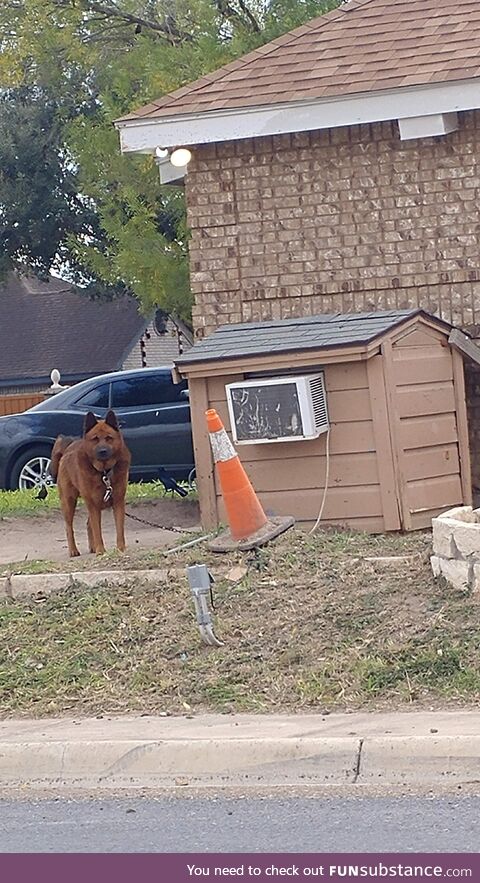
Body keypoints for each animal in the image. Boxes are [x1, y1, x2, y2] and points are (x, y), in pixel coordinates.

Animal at [50, 410, 131, 560]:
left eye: (109, 438)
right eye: (95, 439)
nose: (103, 451)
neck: (104, 473)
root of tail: (67, 449)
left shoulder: (118, 502)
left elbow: (119, 528)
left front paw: (120, 549)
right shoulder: (93, 505)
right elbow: (97, 530)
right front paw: (101, 550)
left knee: (88, 524)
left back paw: (92, 547)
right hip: (69, 501)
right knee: (69, 527)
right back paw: (73, 550)